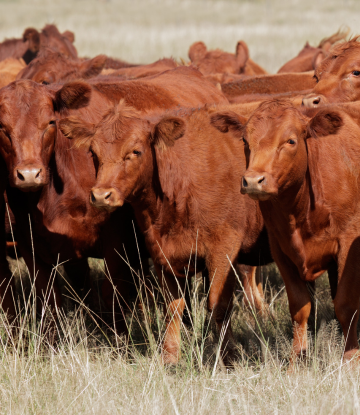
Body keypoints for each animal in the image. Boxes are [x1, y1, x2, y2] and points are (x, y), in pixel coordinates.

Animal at [59, 102, 272, 366]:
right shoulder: (162, 253)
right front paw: (169, 357)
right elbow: (172, 308)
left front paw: (229, 358)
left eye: (136, 151)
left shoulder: (224, 249)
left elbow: (218, 304)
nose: (101, 195)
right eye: (93, 153)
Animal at [239, 100, 360, 364]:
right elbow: (300, 307)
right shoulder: (281, 249)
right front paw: (297, 361)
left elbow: (345, 304)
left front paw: (350, 359)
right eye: (244, 140)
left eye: (291, 141)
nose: (252, 181)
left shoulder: (349, 243)